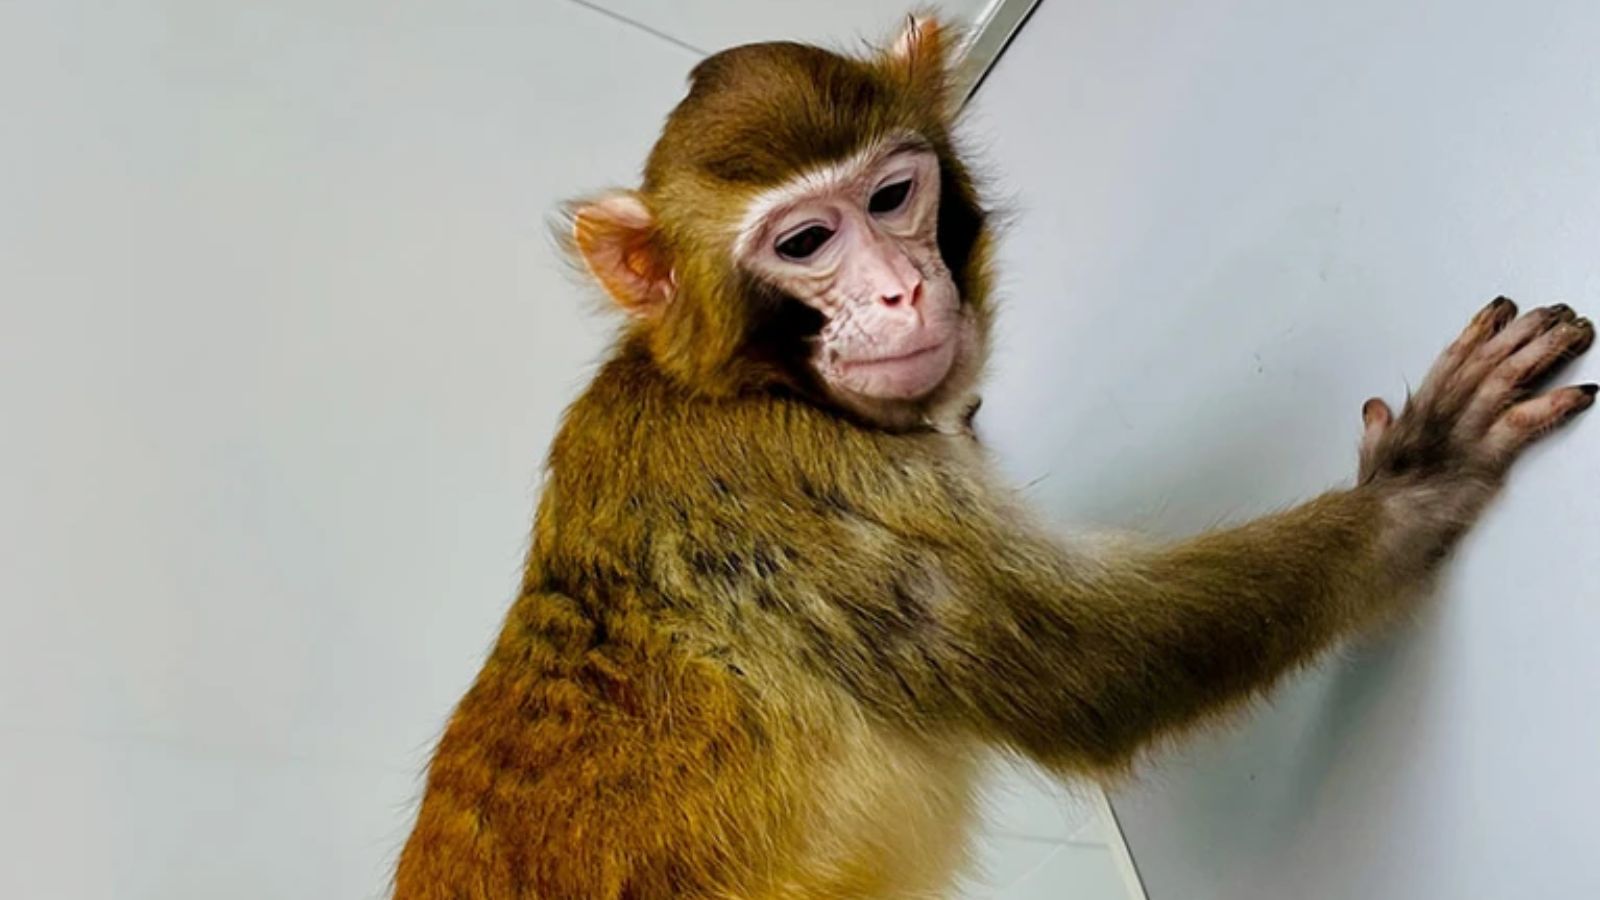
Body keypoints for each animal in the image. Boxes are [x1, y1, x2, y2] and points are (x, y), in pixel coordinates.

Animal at [391, 16, 1596, 900]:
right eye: (806, 242)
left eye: (891, 197)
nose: (898, 290)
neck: (741, 384)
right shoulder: (794, 482)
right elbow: (1095, 670)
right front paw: (1420, 480)